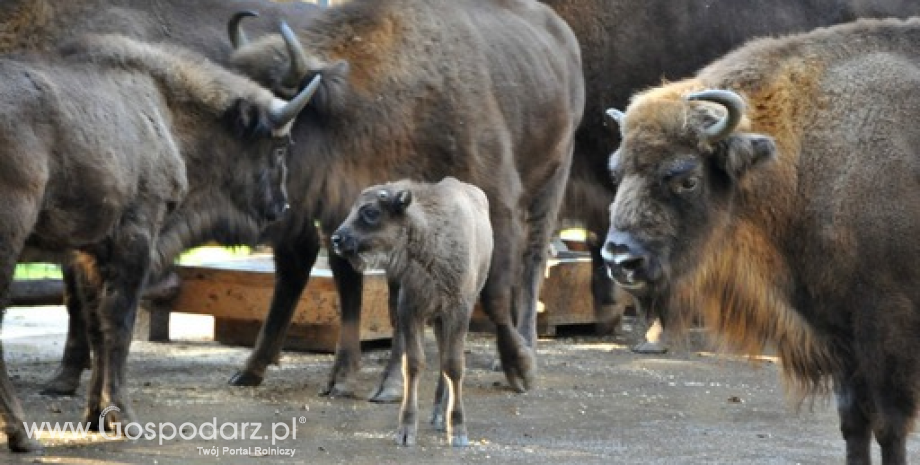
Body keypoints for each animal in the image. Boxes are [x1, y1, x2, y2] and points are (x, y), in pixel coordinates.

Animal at [0, 34, 316, 452]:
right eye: (279, 148)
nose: (281, 206)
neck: (163, 106)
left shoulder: (90, 253)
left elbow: (97, 325)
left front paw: (96, 417)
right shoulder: (137, 234)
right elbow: (120, 322)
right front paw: (124, 418)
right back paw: (22, 434)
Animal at [225, 0, 584, 398]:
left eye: (275, 120)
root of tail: (563, 36)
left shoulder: (498, 204)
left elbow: (493, 293)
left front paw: (520, 369)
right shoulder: (356, 220)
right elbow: (371, 294)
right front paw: (364, 380)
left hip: (551, 182)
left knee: (533, 262)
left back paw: (524, 347)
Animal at [328, 178, 488, 446]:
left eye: (371, 212)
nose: (337, 239)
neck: (428, 235)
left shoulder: (458, 311)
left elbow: (454, 366)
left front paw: (458, 431)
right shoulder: (411, 311)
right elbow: (413, 365)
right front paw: (405, 431)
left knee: (447, 361)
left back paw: (442, 417)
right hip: (437, 320)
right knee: (441, 358)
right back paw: (437, 415)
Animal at [604, 16, 920, 464]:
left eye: (687, 179)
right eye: (616, 172)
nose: (619, 258)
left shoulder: (888, 329)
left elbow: (889, 426)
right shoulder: (839, 333)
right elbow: (853, 422)